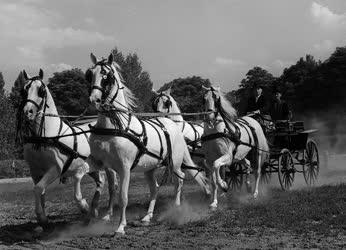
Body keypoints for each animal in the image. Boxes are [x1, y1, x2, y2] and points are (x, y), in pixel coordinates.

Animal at [20, 69, 118, 226]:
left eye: (41, 90)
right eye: (24, 90)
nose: (27, 111)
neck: (44, 137)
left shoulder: (56, 168)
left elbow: (38, 188)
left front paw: (41, 216)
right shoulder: (34, 171)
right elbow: (40, 192)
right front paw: (43, 218)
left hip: (106, 165)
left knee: (111, 184)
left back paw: (99, 211)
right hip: (92, 166)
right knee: (101, 180)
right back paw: (94, 210)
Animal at [88, 52, 209, 234]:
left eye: (107, 76)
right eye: (90, 74)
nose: (93, 99)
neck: (116, 126)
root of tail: (173, 126)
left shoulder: (124, 167)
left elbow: (123, 196)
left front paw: (120, 227)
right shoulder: (108, 166)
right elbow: (112, 191)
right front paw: (107, 216)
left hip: (175, 164)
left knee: (179, 180)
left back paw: (177, 207)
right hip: (150, 168)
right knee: (155, 188)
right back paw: (147, 216)